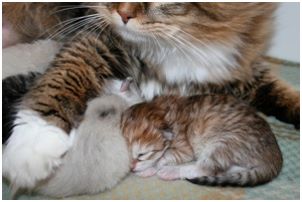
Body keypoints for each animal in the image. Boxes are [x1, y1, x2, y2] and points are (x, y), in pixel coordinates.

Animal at [120, 95, 284, 186]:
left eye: (141, 154)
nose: (132, 168)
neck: (162, 110)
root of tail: (275, 159)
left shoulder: (184, 148)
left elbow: (162, 157)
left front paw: (149, 167)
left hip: (226, 142)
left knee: (204, 168)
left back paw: (171, 171)